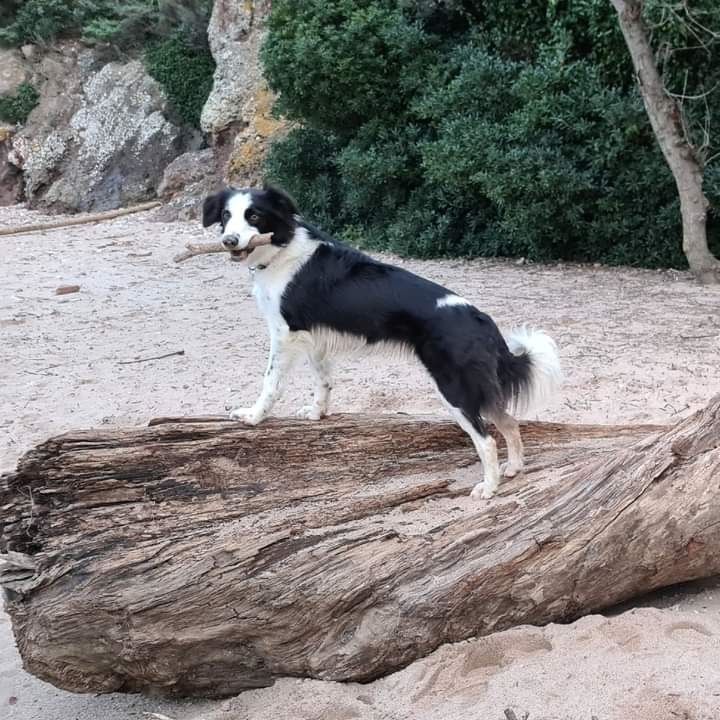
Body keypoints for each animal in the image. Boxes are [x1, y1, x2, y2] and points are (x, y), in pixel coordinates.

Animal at [202, 186, 564, 500]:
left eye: (254, 215)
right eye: (226, 215)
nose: (228, 240)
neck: (283, 248)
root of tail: (482, 319)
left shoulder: (284, 333)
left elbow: (271, 382)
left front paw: (254, 417)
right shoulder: (314, 335)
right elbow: (323, 380)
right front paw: (318, 413)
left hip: (454, 389)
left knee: (487, 440)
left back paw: (489, 487)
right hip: (475, 387)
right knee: (509, 422)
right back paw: (514, 468)